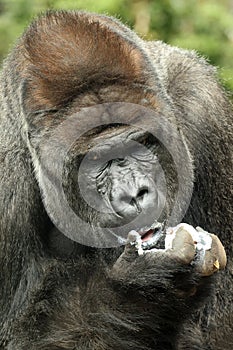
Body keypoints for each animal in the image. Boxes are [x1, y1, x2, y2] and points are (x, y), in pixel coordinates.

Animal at [0, 10, 232, 350]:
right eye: (94, 160)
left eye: (142, 143)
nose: (133, 194)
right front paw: (145, 290)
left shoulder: (206, 108)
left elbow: (219, 327)